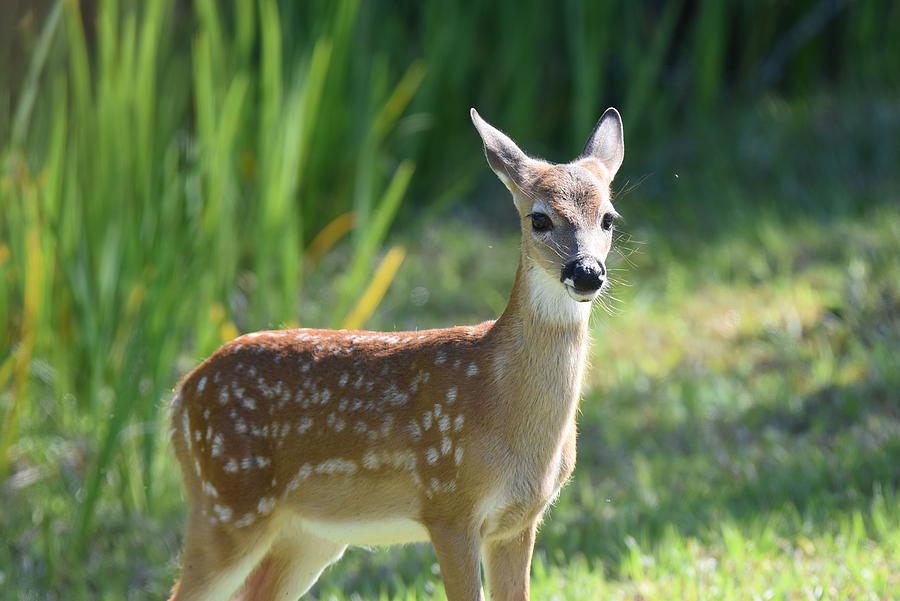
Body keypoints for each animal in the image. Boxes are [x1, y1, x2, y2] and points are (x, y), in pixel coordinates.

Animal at [171, 108, 624, 600]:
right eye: (539, 218)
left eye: (609, 218)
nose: (586, 272)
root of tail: (180, 395)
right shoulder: (448, 507)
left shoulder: (518, 521)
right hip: (228, 503)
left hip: (307, 535)